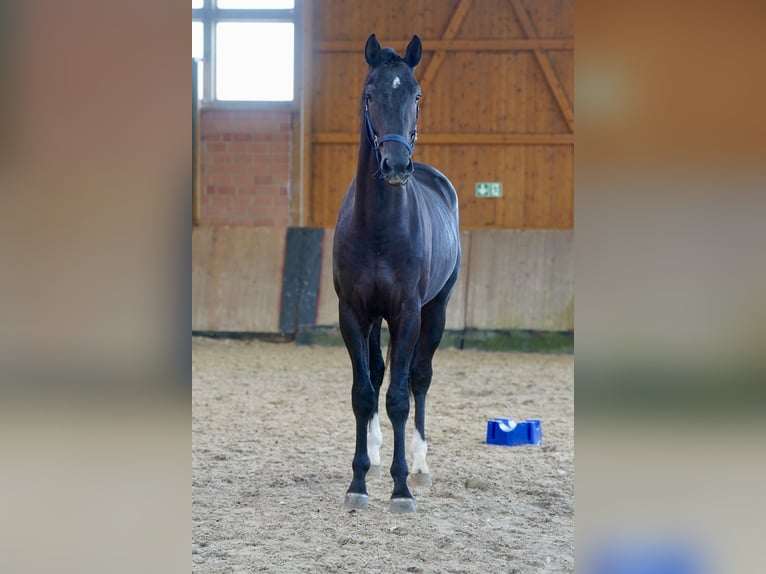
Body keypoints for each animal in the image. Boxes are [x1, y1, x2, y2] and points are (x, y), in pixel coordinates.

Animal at [332, 33, 462, 516]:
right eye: (370, 94)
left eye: (416, 95)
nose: (395, 167)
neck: (380, 228)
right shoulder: (353, 313)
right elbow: (364, 392)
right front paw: (358, 482)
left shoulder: (408, 315)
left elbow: (400, 397)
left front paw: (401, 488)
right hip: (374, 319)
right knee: (376, 371)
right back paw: (373, 454)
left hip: (436, 310)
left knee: (420, 378)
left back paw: (421, 466)